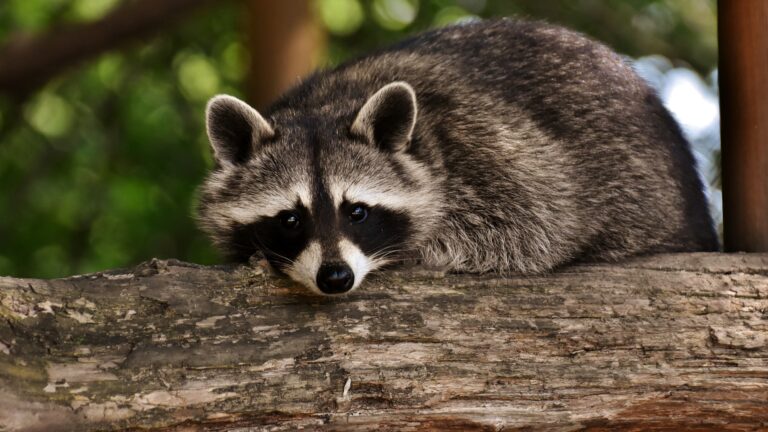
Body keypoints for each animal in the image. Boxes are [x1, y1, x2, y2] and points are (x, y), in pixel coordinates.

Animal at [197, 19, 718, 295]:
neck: (326, 105)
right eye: (289, 218)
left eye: (357, 211)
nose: (336, 278)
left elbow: (537, 226)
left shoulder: (494, 150)